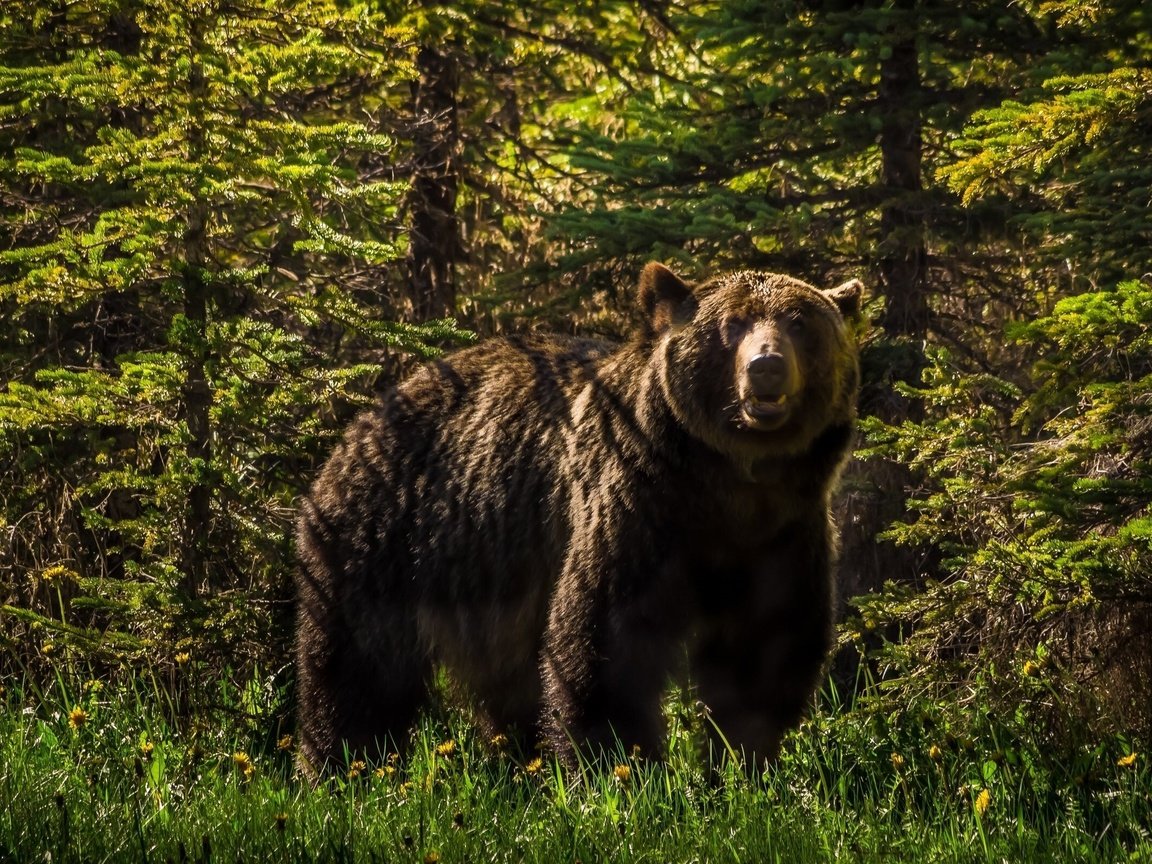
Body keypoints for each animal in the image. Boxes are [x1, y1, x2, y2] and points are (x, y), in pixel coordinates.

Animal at [292, 260, 861, 774]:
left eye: (799, 322)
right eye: (733, 323)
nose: (766, 366)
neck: (726, 485)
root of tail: (359, 424)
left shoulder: (782, 533)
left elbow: (762, 650)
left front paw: (743, 764)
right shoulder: (637, 510)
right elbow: (604, 641)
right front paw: (623, 767)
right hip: (381, 540)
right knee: (357, 672)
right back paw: (339, 767)